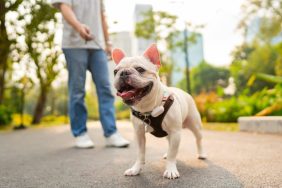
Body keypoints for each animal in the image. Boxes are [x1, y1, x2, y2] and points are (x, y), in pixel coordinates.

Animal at [112, 43, 207, 179]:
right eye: (115, 71)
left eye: (140, 69)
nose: (124, 73)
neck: (148, 108)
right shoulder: (139, 134)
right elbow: (140, 154)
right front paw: (136, 169)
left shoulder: (176, 132)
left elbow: (173, 154)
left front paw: (171, 169)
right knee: (170, 143)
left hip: (194, 125)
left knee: (198, 139)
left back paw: (202, 154)